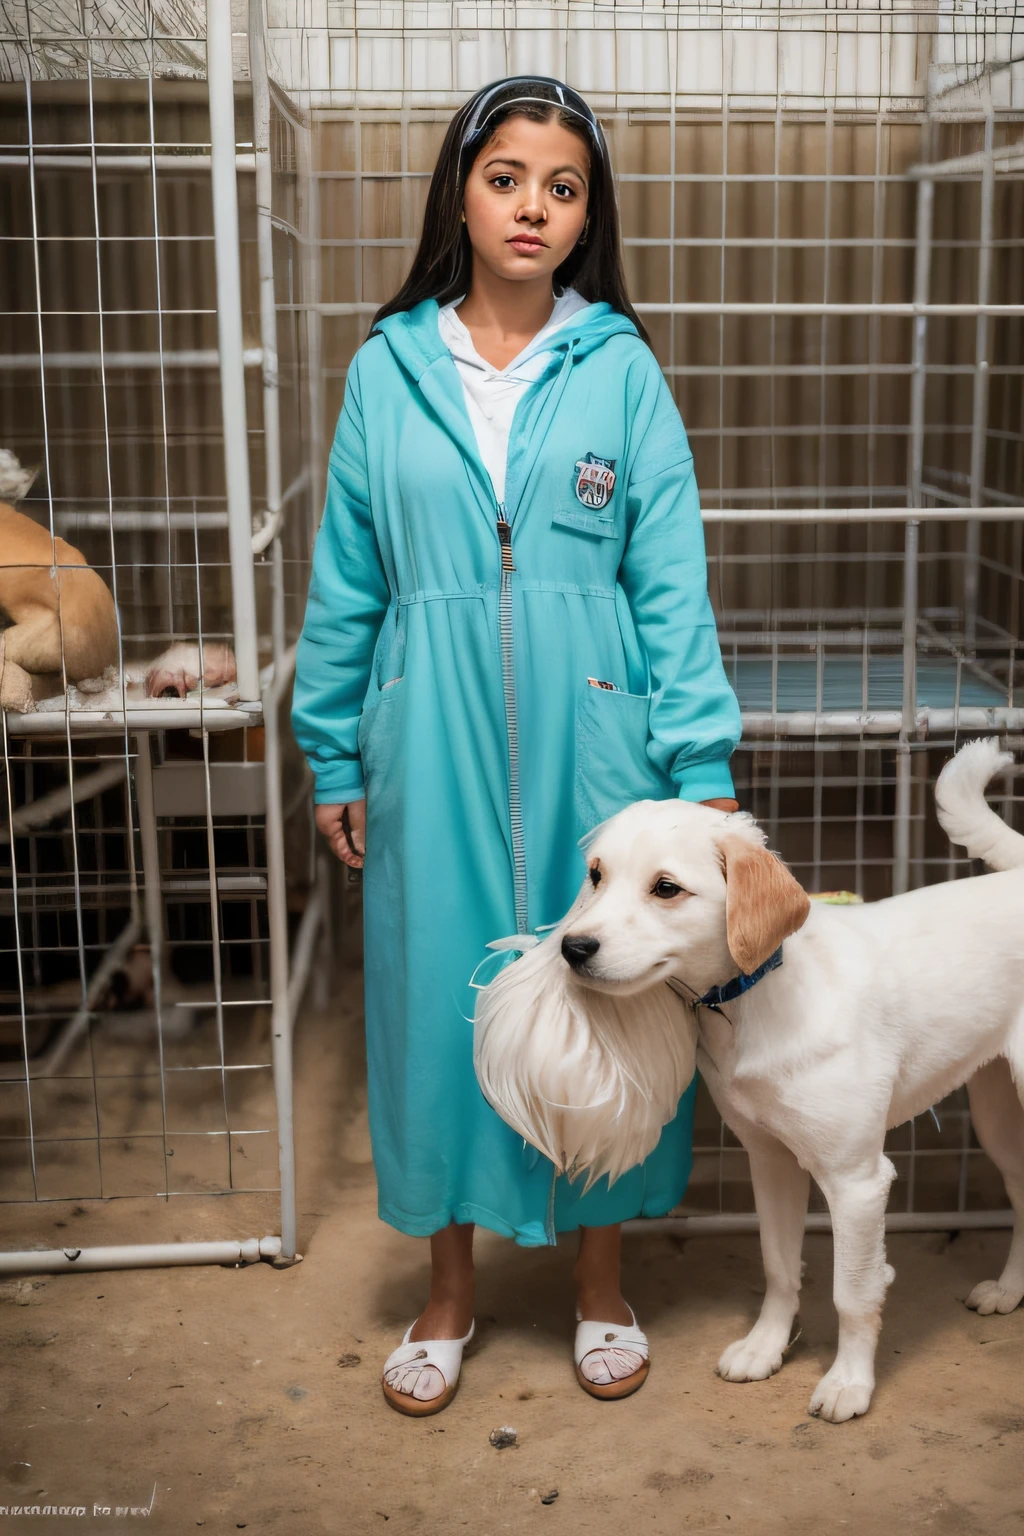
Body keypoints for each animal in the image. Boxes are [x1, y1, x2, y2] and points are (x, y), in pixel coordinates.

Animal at [475, 737, 1024, 1419]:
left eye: (666, 888)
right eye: (597, 875)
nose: (572, 948)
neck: (753, 1001)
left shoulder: (857, 1181)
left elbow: (852, 1293)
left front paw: (849, 1382)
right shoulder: (771, 1161)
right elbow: (779, 1267)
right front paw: (766, 1348)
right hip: (997, 1118)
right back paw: (1009, 1290)